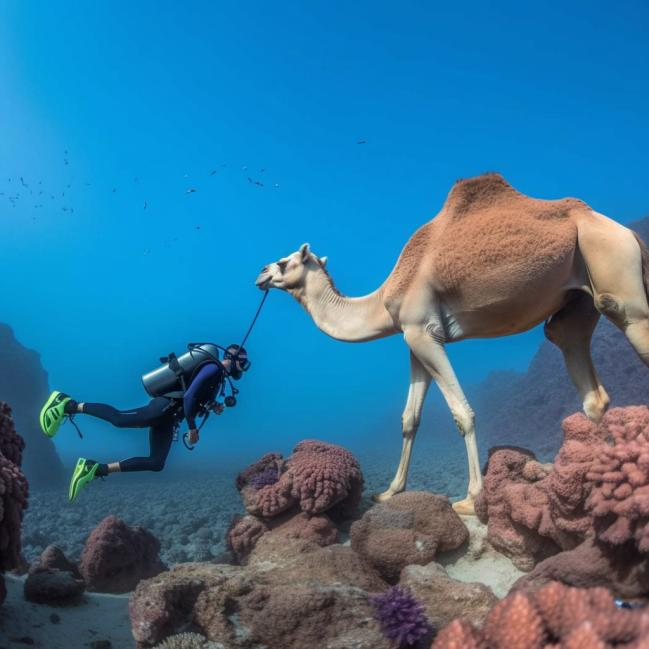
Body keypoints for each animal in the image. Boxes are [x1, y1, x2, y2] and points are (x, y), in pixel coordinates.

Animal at [253, 171, 648, 512]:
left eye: (284, 260)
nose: (260, 273)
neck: (383, 299)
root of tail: (629, 234)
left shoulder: (424, 332)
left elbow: (462, 413)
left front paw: (471, 499)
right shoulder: (413, 340)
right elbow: (409, 418)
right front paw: (389, 492)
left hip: (616, 273)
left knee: (627, 320)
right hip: (579, 298)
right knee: (576, 358)